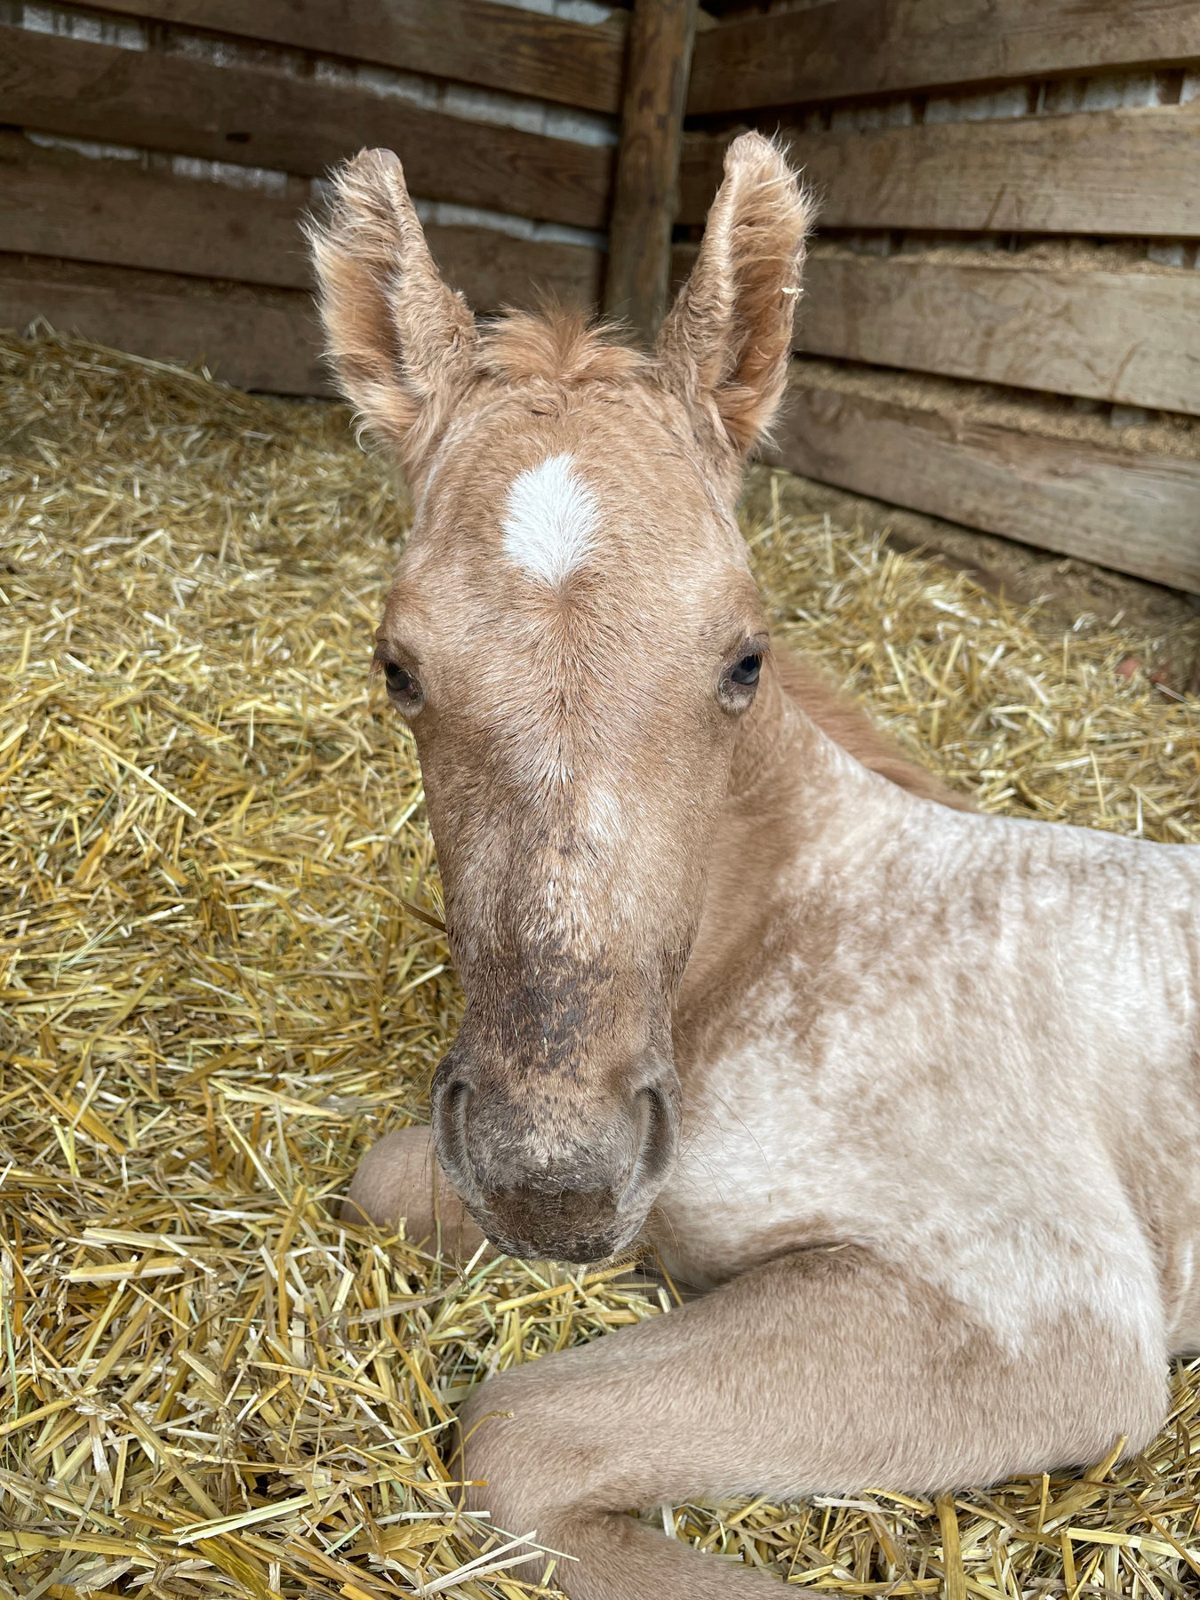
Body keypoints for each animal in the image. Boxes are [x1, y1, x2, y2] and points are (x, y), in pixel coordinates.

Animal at [309, 134, 1200, 1599]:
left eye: (743, 659)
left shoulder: (1043, 1307)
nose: (555, 1179)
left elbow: (515, 1429)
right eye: (397, 668)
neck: (788, 938)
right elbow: (384, 1181)